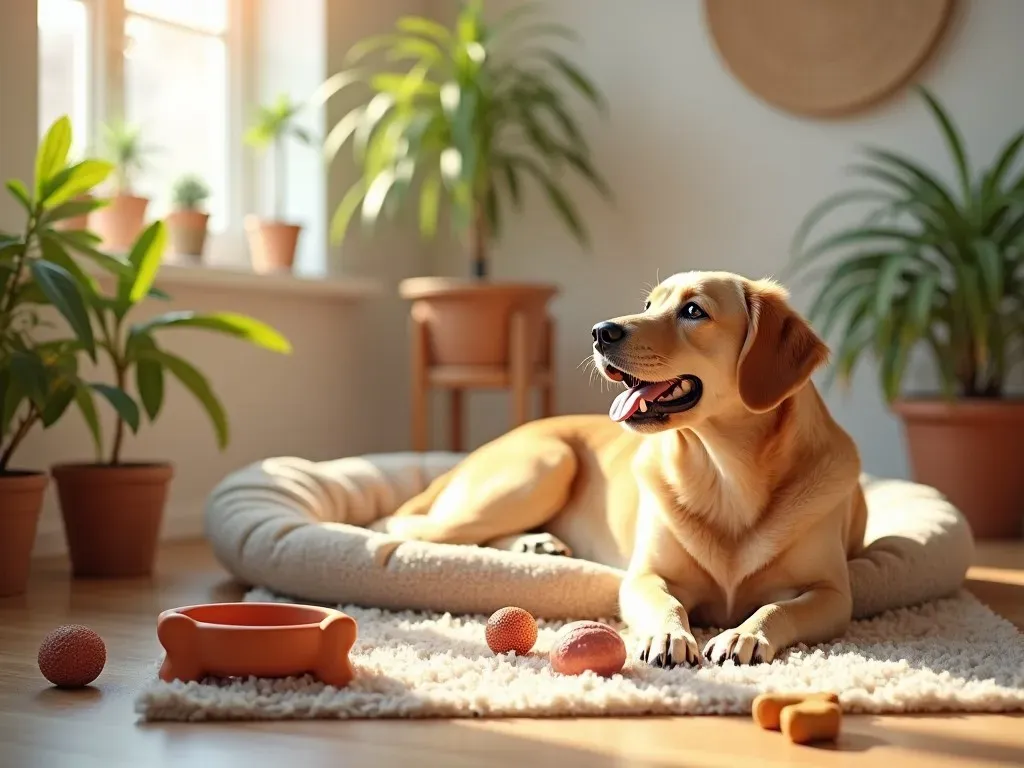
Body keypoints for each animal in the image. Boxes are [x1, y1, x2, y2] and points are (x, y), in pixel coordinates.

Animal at [372, 270, 868, 667]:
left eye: (693, 310)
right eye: (648, 304)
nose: (600, 332)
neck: (725, 472)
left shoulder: (832, 594)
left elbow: (778, 607)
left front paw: (743, 635)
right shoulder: (644, 576)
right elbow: (666, 603)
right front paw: (669, 636)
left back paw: (537, 544)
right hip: (545, 466)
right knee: (403, 524)